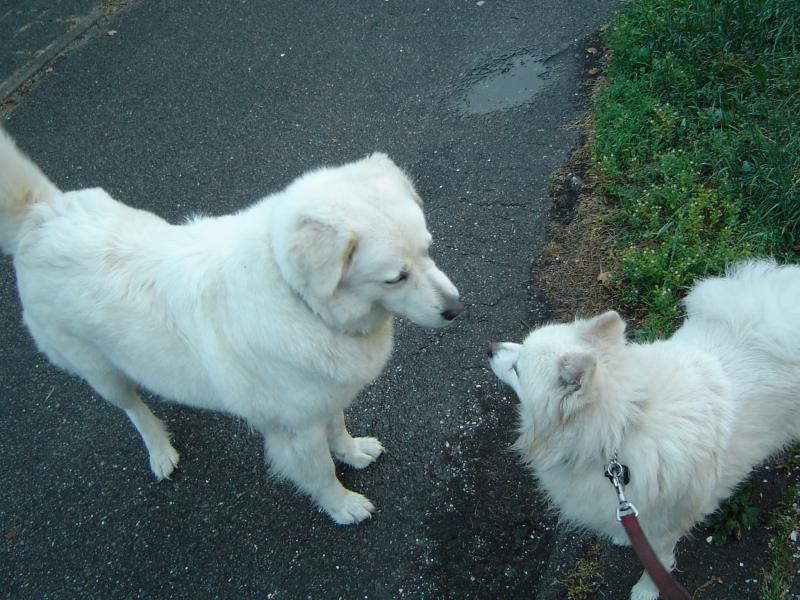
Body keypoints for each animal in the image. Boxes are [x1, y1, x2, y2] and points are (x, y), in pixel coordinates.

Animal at [0, 127, 462, 524]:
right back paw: (159, 450)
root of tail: (41, 215)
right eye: (395, 278)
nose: (456, 309)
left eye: (428, 249)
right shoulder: (297, 429)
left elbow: (338, 428)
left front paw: (353, 451)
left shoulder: (323, 395)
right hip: (100, 372)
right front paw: (342, 506)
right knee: (133, 408)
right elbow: (322, 473)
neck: (300, 299)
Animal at [488, 262, 800, 600]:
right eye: (519, 347)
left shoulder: (667, 525)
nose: (490, 347)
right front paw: (624, 536)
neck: (620, 431)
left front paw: (646, 590)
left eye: (517, 369)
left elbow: (658, 563)